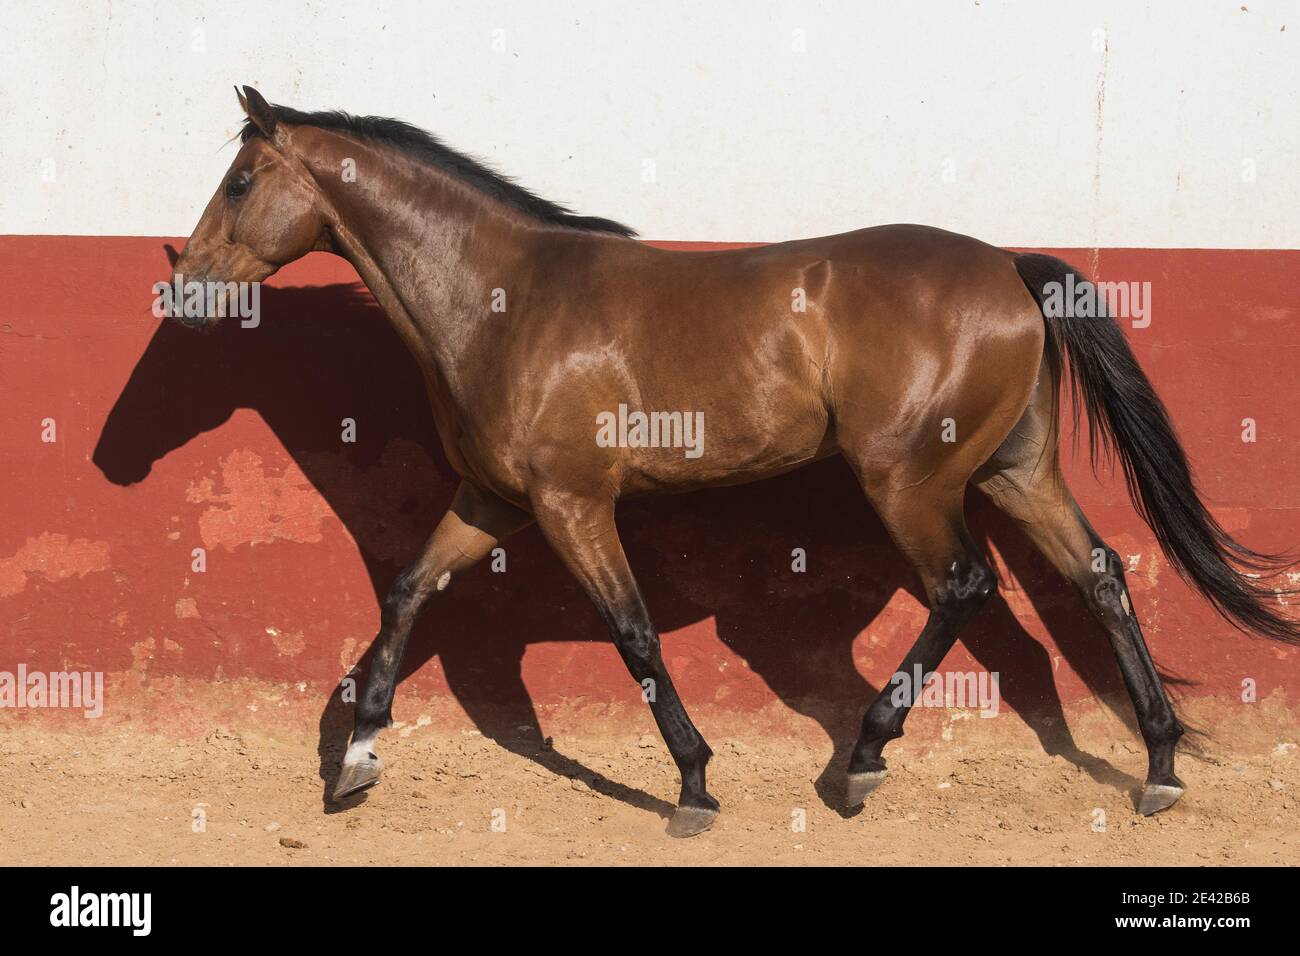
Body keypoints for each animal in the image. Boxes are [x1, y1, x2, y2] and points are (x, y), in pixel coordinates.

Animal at [167, 87, 1294, 837]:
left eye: (240, 179)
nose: (182, 288)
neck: (503, 302)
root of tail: (1011, 268)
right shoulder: (491, 499)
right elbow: (406, 590)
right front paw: (355, 756)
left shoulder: (573, 504)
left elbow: (630, 633)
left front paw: (695, 785)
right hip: (1017, 473)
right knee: (1101, 573)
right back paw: (1159, 763)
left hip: (909, 481)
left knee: (965, 584)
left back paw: (862, 760)